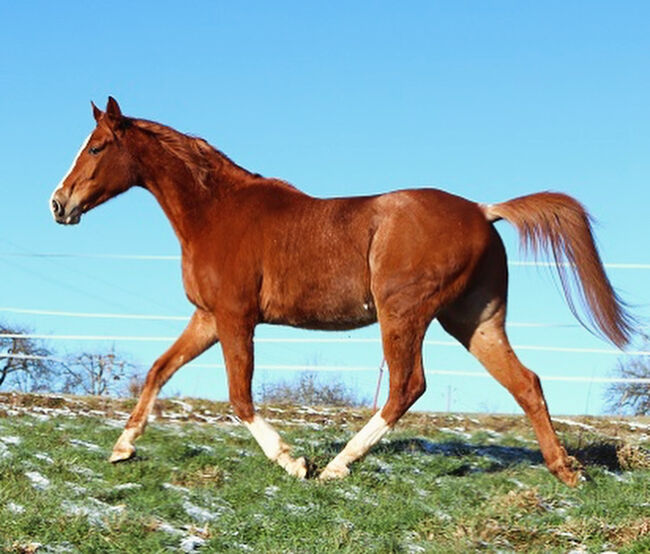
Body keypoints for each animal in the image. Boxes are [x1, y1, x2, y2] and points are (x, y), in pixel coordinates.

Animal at [52, 98, 632, 484]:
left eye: (97, 147)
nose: (59, 204)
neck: (215, 213)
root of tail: (481, 210)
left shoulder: (236, 317)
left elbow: (239, 396)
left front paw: (293, 461)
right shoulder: (207, 318)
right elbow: (157, 370)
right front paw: (122, 448)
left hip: (404, 313)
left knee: (407, 387)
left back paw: (336, 466)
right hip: (475, 321)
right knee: (526, 383)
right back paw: (566, 471)